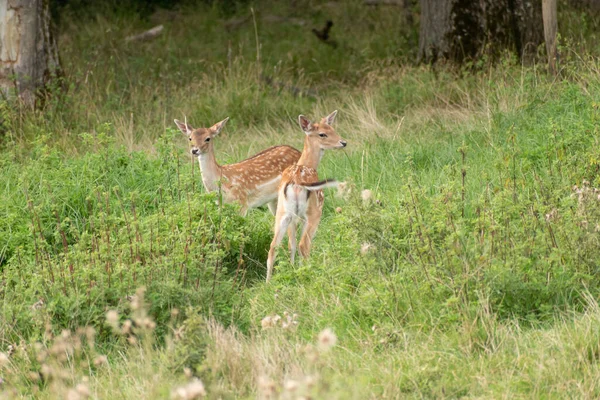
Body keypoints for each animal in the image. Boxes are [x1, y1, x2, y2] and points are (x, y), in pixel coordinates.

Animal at [268, 110, 346, 282]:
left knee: (273, 247)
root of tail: (297, 182)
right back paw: (310, 274)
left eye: (332, 128)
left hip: (283, 212)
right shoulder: (306, 216)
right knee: (304, 245)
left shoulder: (293, 217)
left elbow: (291, 244)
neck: (308, 164)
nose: (343, 142)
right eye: (322, 134)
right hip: (314, 212)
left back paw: (268, 283)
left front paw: (293, 270)